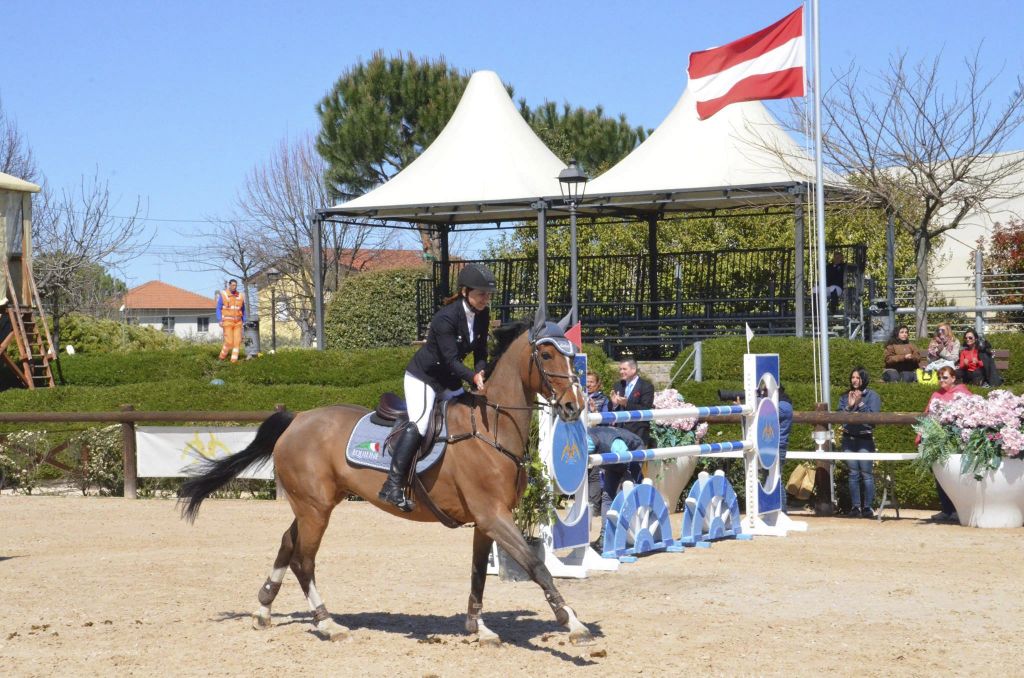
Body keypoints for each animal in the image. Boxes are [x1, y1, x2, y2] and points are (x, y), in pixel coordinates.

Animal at [180, 319, 589, 647]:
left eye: (573, 358)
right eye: (547, 355)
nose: (575, 406)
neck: (490, 428)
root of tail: (297, 419)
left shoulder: (486, 520)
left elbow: (477, 574)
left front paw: (479, 628)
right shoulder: (493, 516)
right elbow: (537, 567)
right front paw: (572, 622)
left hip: (313, 504)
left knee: (287, 543)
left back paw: (264, 609)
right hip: (316, 509)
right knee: (304, 560)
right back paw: (327, 623)